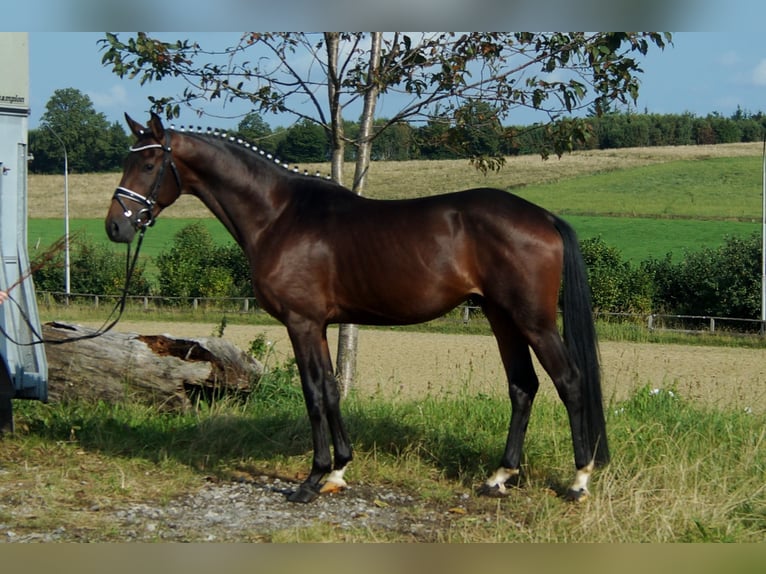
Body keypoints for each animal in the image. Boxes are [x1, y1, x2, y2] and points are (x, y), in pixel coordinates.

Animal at [105, 112, 608, 504]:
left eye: (148, 163)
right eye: (127, 161)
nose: (115, 227)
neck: (280, 215)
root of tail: (543, 217)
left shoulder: (302, 323)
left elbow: (313, 393)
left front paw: (310, 481)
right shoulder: (322, 325)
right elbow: (330, 389)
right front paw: (338, 471)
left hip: (533, 320)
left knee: (570, 381)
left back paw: (579, 480)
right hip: (501, 317)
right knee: (523, 386)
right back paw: (499, 476)